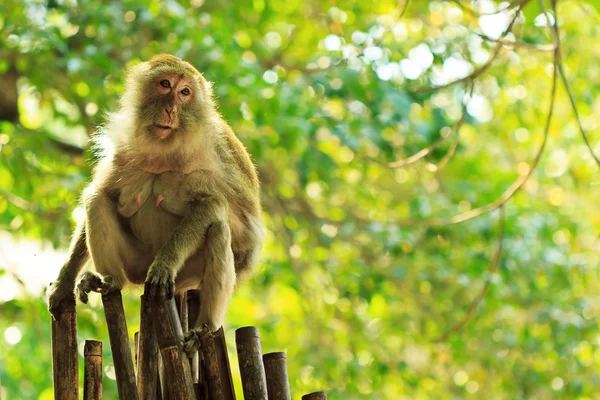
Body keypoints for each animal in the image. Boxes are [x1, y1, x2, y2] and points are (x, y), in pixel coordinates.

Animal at [48, 54, 268, 354]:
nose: (171, 110)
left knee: (218, 229)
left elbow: (212, 205)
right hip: (135, 262)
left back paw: (204, 327)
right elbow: (106, 192)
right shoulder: (122, 148)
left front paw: (165, 262)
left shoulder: (214, 153)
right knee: (96, 200)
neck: (163, 150)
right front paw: (64, 281)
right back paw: (110, 281)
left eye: (185, 92)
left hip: (186, 278)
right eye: (165, 85)